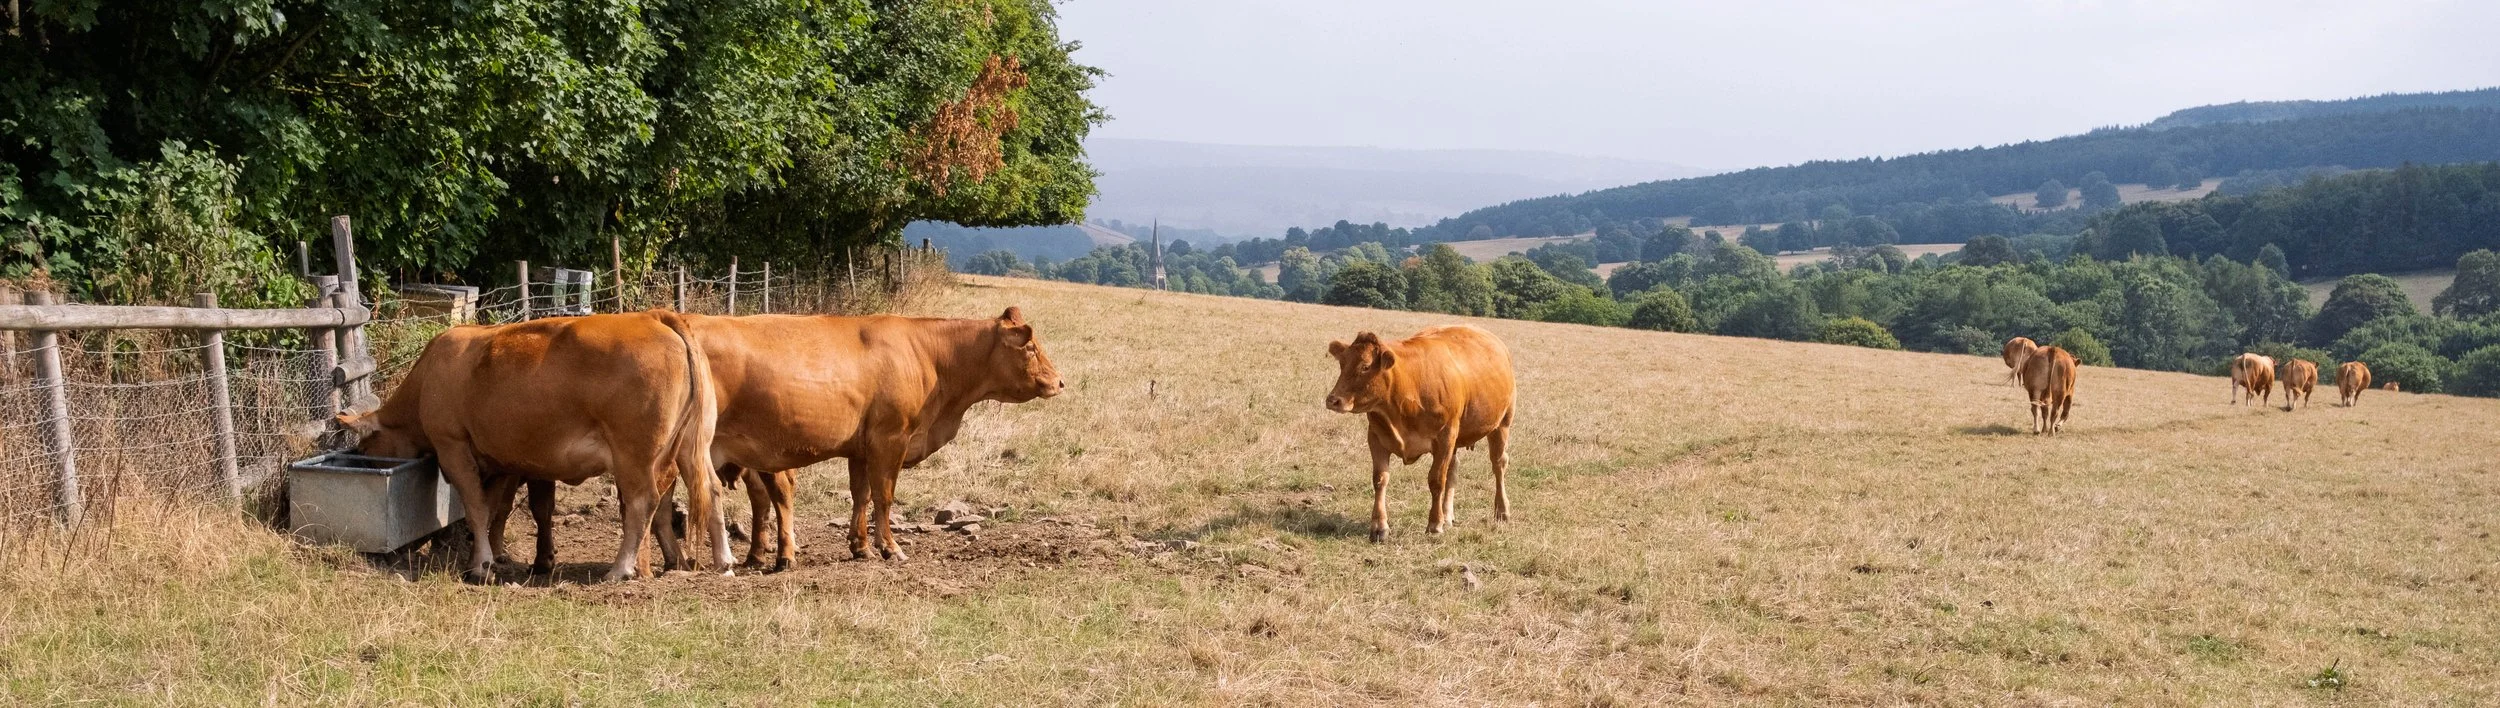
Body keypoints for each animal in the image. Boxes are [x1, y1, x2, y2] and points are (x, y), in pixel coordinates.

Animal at [337, 312, 731, 582]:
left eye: (366, 448)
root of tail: (655, 316)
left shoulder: (453, 447)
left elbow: (476, 507)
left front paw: (480, 566)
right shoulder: (498, 460)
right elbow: (495, 509)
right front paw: (493, 557)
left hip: (634, 454)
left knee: (643, 501)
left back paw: (621, 569)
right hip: (691, 445)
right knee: (709, 489)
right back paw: (724, 562)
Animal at [1325, 326, 1517, 542]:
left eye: (1365, 367)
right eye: (1342, 363)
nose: (1333, 400)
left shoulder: (1444, 438)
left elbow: (1436, 480)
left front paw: (1434, 524)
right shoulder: (1375, 437)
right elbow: (1380, 479)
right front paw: (1379, 527)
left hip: (1501, 424)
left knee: (1498, 464)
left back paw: (1502, 511)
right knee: (1453, 469)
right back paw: (1447, 515)